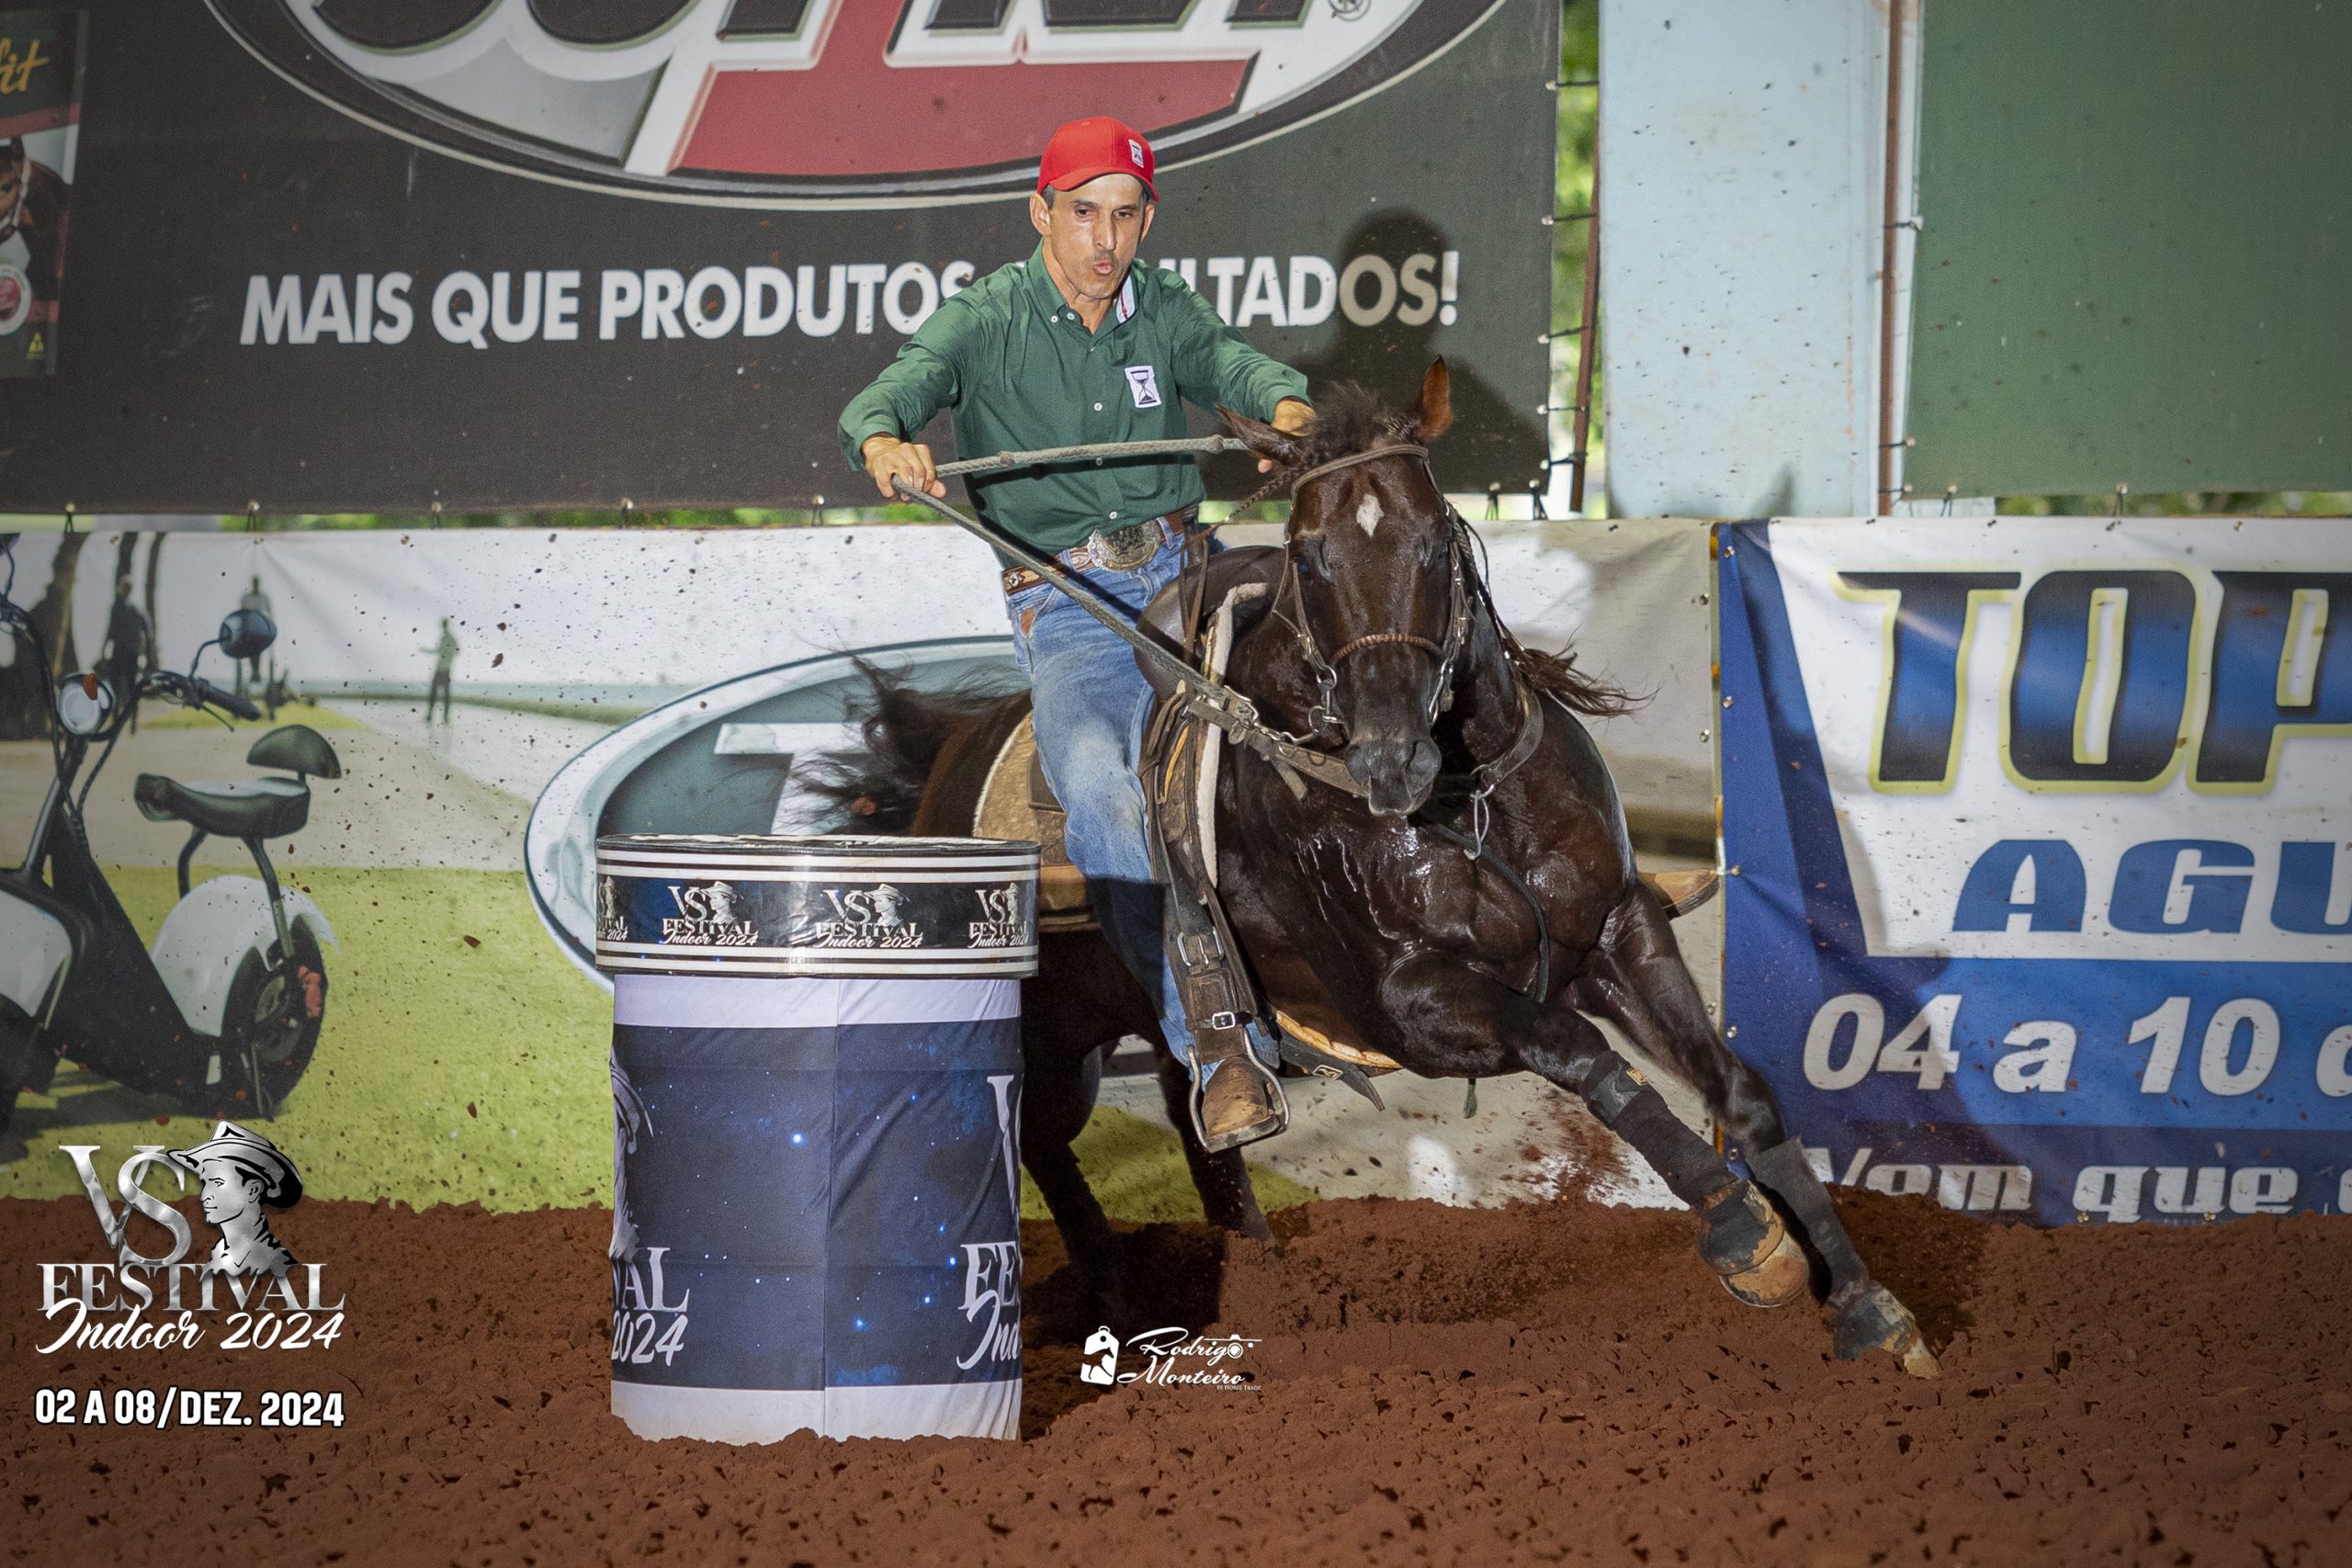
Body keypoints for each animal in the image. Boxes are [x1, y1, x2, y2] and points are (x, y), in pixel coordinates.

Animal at [818, 364, 1938, 1372]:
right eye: (1309, 558)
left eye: (1437, 536)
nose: (1391, 758)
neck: (1468, 801)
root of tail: (946, 755)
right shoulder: (1409, 1008)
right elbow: (1580, 1053)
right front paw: (1747, 1238)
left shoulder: (1621, 928)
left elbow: (1738, 1091)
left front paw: (1869, 1305)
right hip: (1046, 1039)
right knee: (1037, 1138)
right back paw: (1122, 1299)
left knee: (1196, 1120)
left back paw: (1259, 1281)